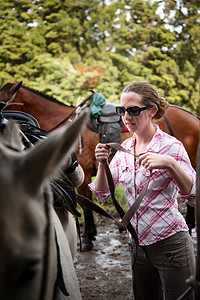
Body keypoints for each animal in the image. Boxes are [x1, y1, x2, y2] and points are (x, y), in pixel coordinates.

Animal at [0, 81, 198, 251]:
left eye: (3, 102)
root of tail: (193, 116)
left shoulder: (84, 174)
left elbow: (87, 204)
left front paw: (88, 236)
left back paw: (189, 226)